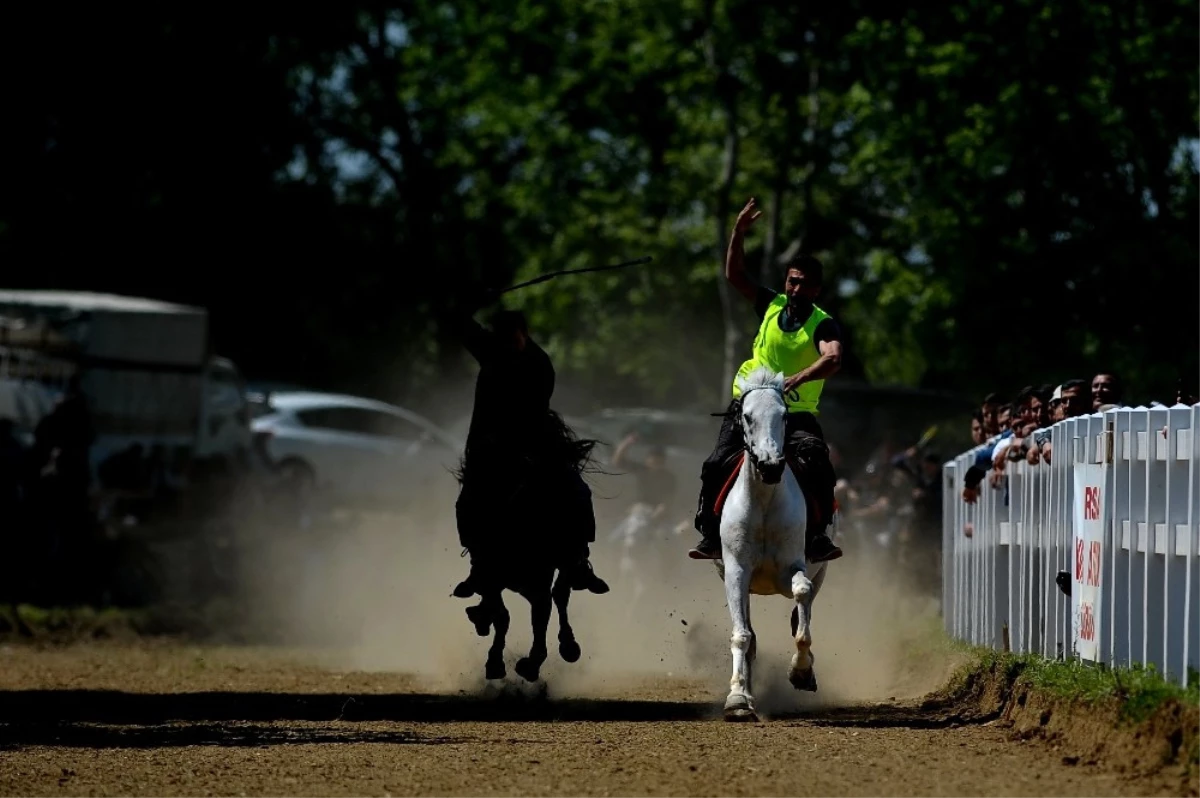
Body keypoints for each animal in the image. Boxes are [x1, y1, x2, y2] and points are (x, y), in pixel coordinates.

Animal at [451, 410, 600, 676]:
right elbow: (508, 615)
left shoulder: (528, 580)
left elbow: (529, 616)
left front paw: (518, 663)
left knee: (557, 596)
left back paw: (563, 648)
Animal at [710, 367, 825, 720]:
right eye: (747, 416)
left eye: (784, 415)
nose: (771, 465)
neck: (763, 502)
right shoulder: (735, 571)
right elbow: (742, 635)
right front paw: (737, 699)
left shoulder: (793, 568)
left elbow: (801, 596)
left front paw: (800, 671)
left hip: (821, 571)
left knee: (806, 605)